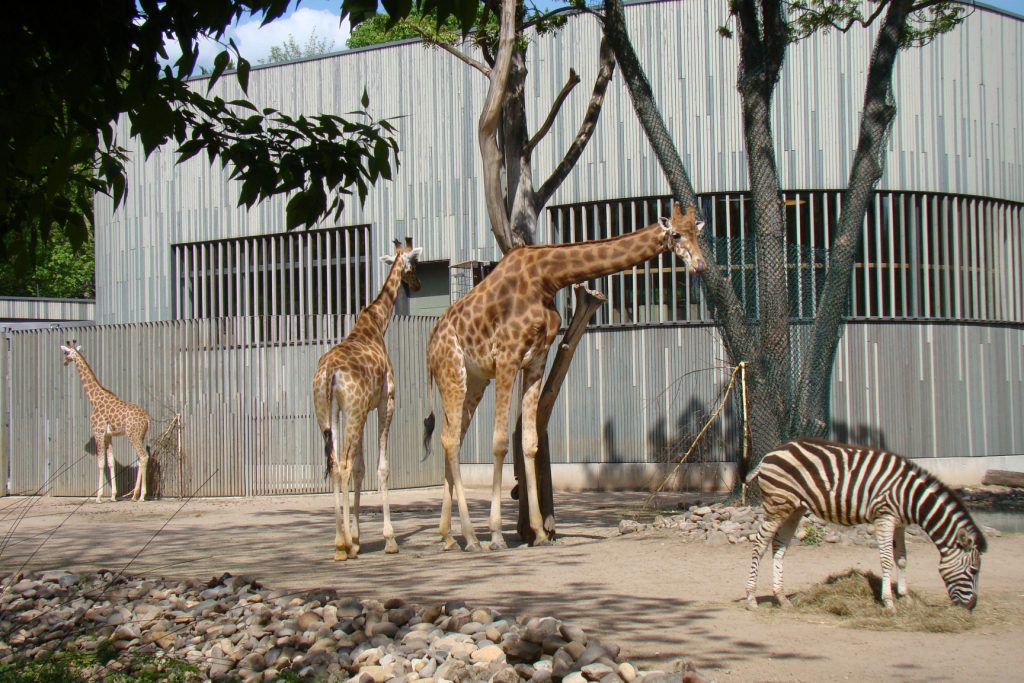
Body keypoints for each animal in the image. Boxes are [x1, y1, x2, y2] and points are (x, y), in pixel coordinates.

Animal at [59, 342, 151, 501]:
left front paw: (98, 497)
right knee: (140, 458)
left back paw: (141, 496)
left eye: (66, 353)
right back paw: (134, 495)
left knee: (144, 457)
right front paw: (113, 495)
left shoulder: (98, 431)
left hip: (132, 435)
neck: (94, 399)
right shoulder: (108, 435)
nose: (64, 362)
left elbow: (101, 463)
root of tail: (147, 418)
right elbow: (111, 462)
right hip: (140, 436)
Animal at [311, 237, 423, 557]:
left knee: (336, 464)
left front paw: (358, 537)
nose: (418, 284)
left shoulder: (358, 411)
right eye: (415, 264)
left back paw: (341, 542)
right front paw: (389, 539)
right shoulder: (385, 403)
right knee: (344, 465)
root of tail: (330, 373)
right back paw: (343, 544)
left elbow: (360, 469)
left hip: (329, 413)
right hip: (353, 410)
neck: (376, 325)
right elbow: (380, 468)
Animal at [421, 202, 704, 548]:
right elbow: (500, 442)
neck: (547, 278)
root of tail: (430, 347)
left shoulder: (536, 360)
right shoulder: (507, 357)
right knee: (450, 439)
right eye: (676, 234)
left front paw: (540, 532)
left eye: (698, 234)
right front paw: (498, 535)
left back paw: (450, 536)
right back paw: (473, 538)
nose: (701, 266)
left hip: (475, 380)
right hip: (453, 373)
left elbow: (530, 442)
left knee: (453, 440)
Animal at [745, 440, 983, 610]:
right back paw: (751, 598)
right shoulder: (884, 516)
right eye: (973, 570)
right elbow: (886, 560)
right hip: (778, 504)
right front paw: (889, 603)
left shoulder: (899, 523)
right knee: (759, 544)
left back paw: (782, 598)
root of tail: (769, 455)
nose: (972, 607)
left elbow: (902, 559)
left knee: (779, 547)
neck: (910, 496)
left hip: (794, 508)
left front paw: (905, 598)